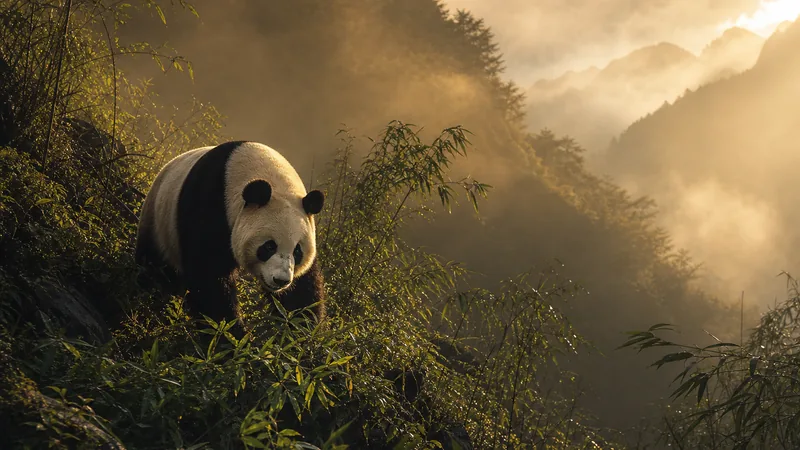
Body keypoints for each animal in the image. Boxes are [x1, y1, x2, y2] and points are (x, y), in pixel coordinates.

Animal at [134, 140, 325, 331]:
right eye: (269, 246)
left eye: (297, 251)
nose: (280, 280)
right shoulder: (210, 204)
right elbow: (209, 278)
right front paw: (230, 332)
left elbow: (302, 291)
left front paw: (300, 329)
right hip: (158, 226)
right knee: (154, 270)